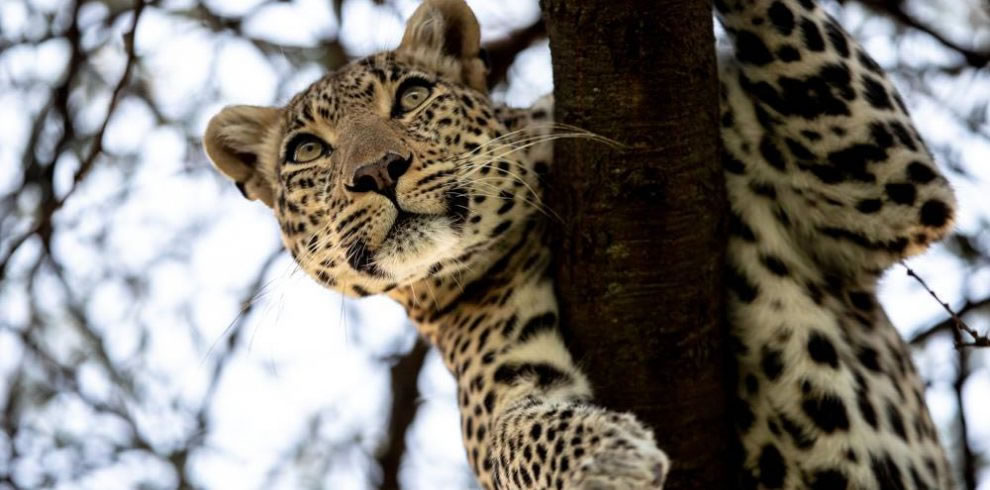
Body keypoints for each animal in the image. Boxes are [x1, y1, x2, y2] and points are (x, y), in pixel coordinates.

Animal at [203, 0, 960, 488]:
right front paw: (609, 455)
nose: (377, 171)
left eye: (413, 96)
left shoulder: (878, 180)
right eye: (307, 150)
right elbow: (517, 435)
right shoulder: (498, 376)